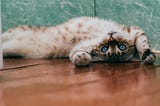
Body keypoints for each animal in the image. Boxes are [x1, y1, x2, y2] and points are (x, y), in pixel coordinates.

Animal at [1, 16, 158, 66]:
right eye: (105, 48)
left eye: (121, 47)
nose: (111, 36)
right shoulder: (135, 30)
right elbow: (143, 42)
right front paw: (146, 54)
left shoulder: (76, 48)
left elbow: (77, 55)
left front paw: (82, 58)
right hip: (11, 34)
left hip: (11, 48)